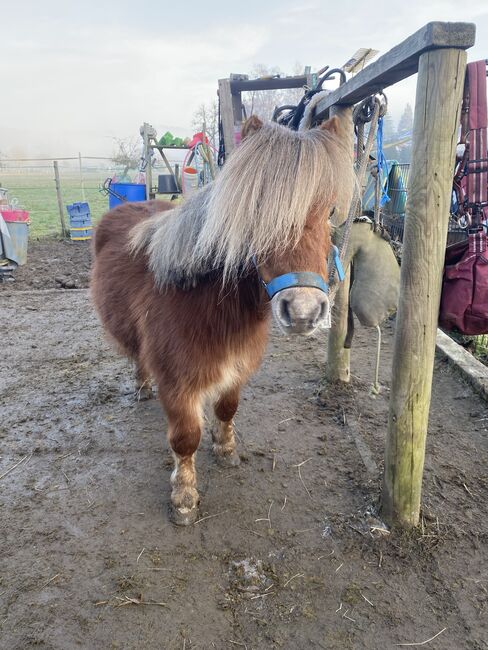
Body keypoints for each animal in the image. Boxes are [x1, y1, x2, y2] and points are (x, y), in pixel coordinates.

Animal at [91, 114, 352, 524]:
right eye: (258, 211)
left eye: (328, 213)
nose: (304, 311)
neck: (207, 302)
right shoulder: (178, 382)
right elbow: (185, 438)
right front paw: (184, 496)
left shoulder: (238, 366)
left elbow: (227, 408)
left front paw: (226, 449)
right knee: (138, 359)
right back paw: (142, 387)